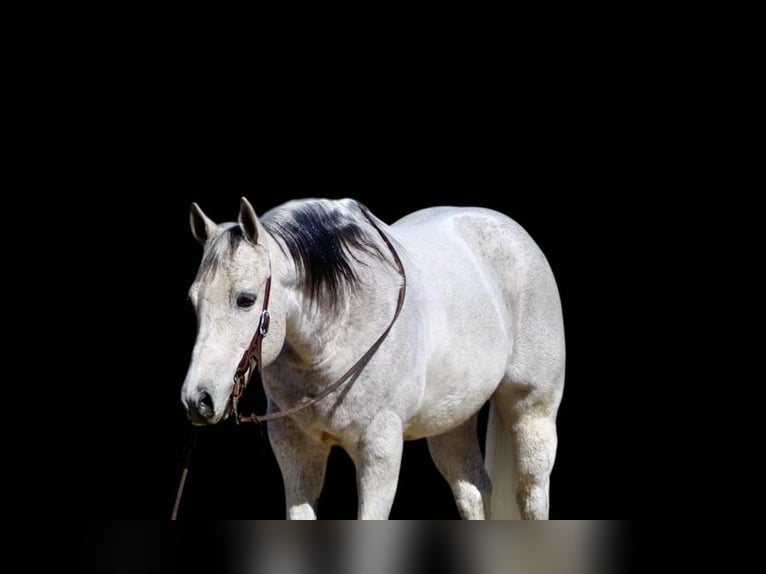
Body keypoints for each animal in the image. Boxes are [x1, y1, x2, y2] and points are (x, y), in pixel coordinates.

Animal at [181, 197, 565, 519]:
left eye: (245, 299)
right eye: (193, 301)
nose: (197, 399)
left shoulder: (379, 448)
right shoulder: (295, 447)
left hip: (532, 411)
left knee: (531, 495)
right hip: (452, 421)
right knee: (474, 491)